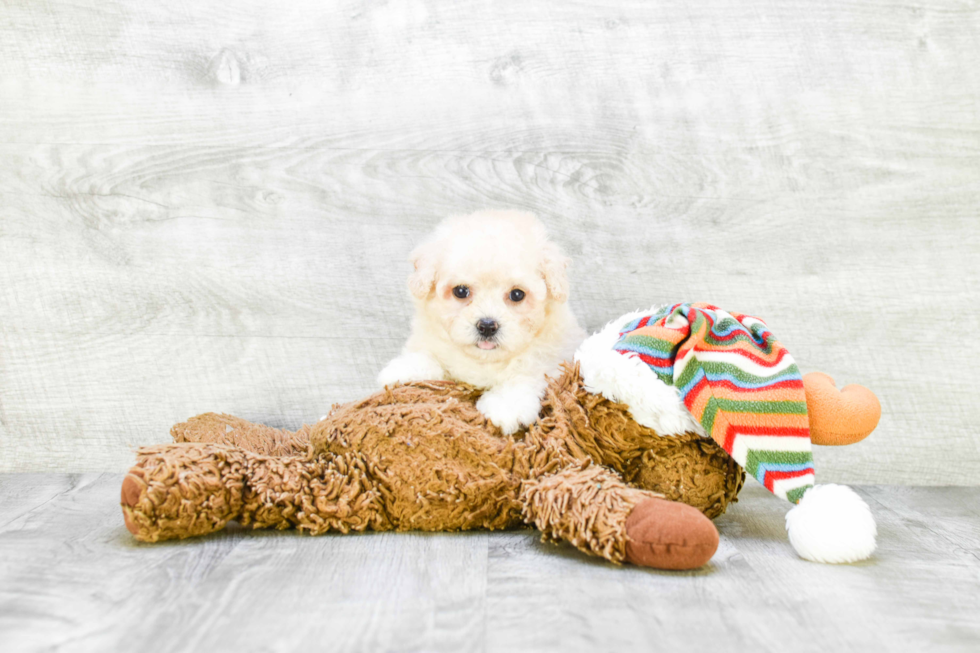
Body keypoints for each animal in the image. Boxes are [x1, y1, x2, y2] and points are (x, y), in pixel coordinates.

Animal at [378, 210, 584, 432]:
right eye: (461, 291)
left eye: (517, 294)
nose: (487, 326)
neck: (484, 361)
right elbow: (429, 356)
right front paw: (404, 369)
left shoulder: (552, 357)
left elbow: (525, 370)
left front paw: (506, 406)